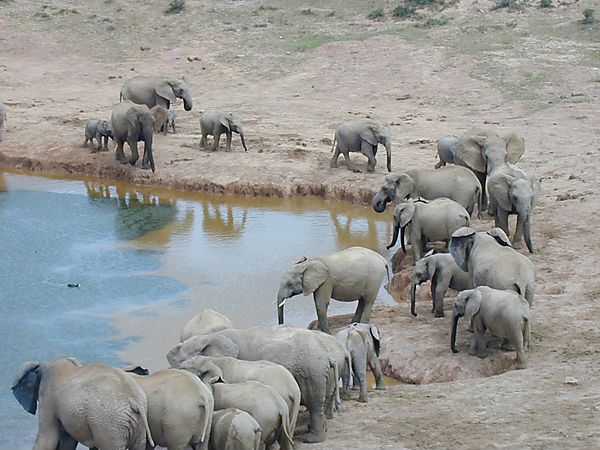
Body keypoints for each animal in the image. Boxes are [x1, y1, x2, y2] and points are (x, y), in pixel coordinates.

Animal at [12, 358, 154, 450]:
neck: (45, 364)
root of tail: (134, 400)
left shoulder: (48, 399)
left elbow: (48, 438)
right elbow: (67, 440)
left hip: (109, 425)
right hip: (135, 424)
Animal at [166, 326, 340, 442]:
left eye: (182, 363)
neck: (210, 336)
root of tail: (328, 355)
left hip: (312, 373)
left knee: (314, 404)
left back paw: (310, 439)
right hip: (323, 374)